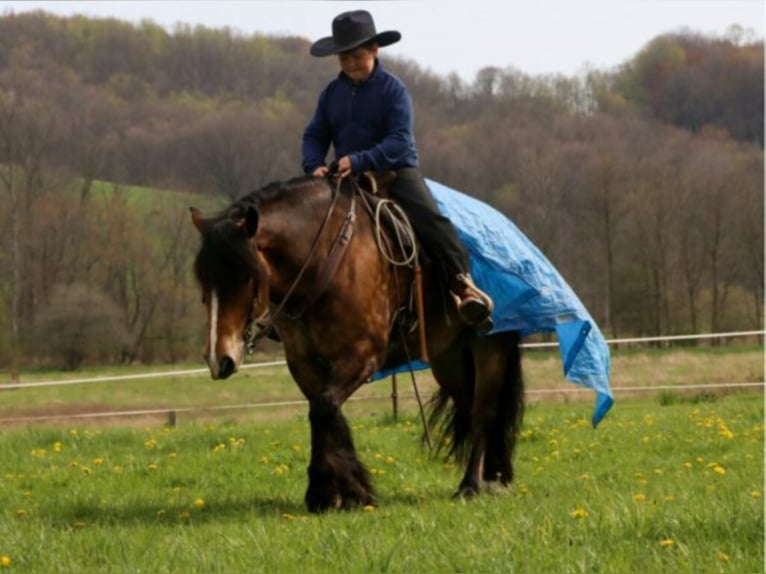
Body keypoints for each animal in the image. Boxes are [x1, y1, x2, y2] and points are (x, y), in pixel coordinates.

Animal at [192, 174, 528, 512]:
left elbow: (324, 408)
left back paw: (470, 485)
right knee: (468, 408)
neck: (323, 261)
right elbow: (325, 412)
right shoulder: (304, 363)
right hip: (450, 358)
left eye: (246, 276)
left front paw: (339, 491)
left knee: (482, 412)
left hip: (490, 348)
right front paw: (337, 492)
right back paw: (494, 477)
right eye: (203, 280)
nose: (219, 359)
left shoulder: (362, 356)